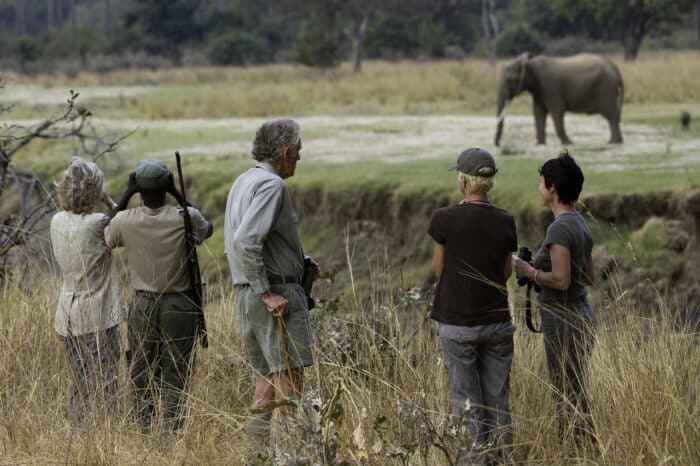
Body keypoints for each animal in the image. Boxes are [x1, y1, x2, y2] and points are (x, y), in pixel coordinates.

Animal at [492, 52, 624, 146]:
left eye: (510, 79)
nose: (498, 145)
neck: (531, 63)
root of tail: (615, 67)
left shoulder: (551, 86)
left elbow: (556, 111)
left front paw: (568, 143)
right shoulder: (539, 90)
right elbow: (538, 113)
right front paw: (540, 144)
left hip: (606, 89)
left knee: (611, 115)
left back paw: (614, 143)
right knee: (613, 116)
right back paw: (614, 142)